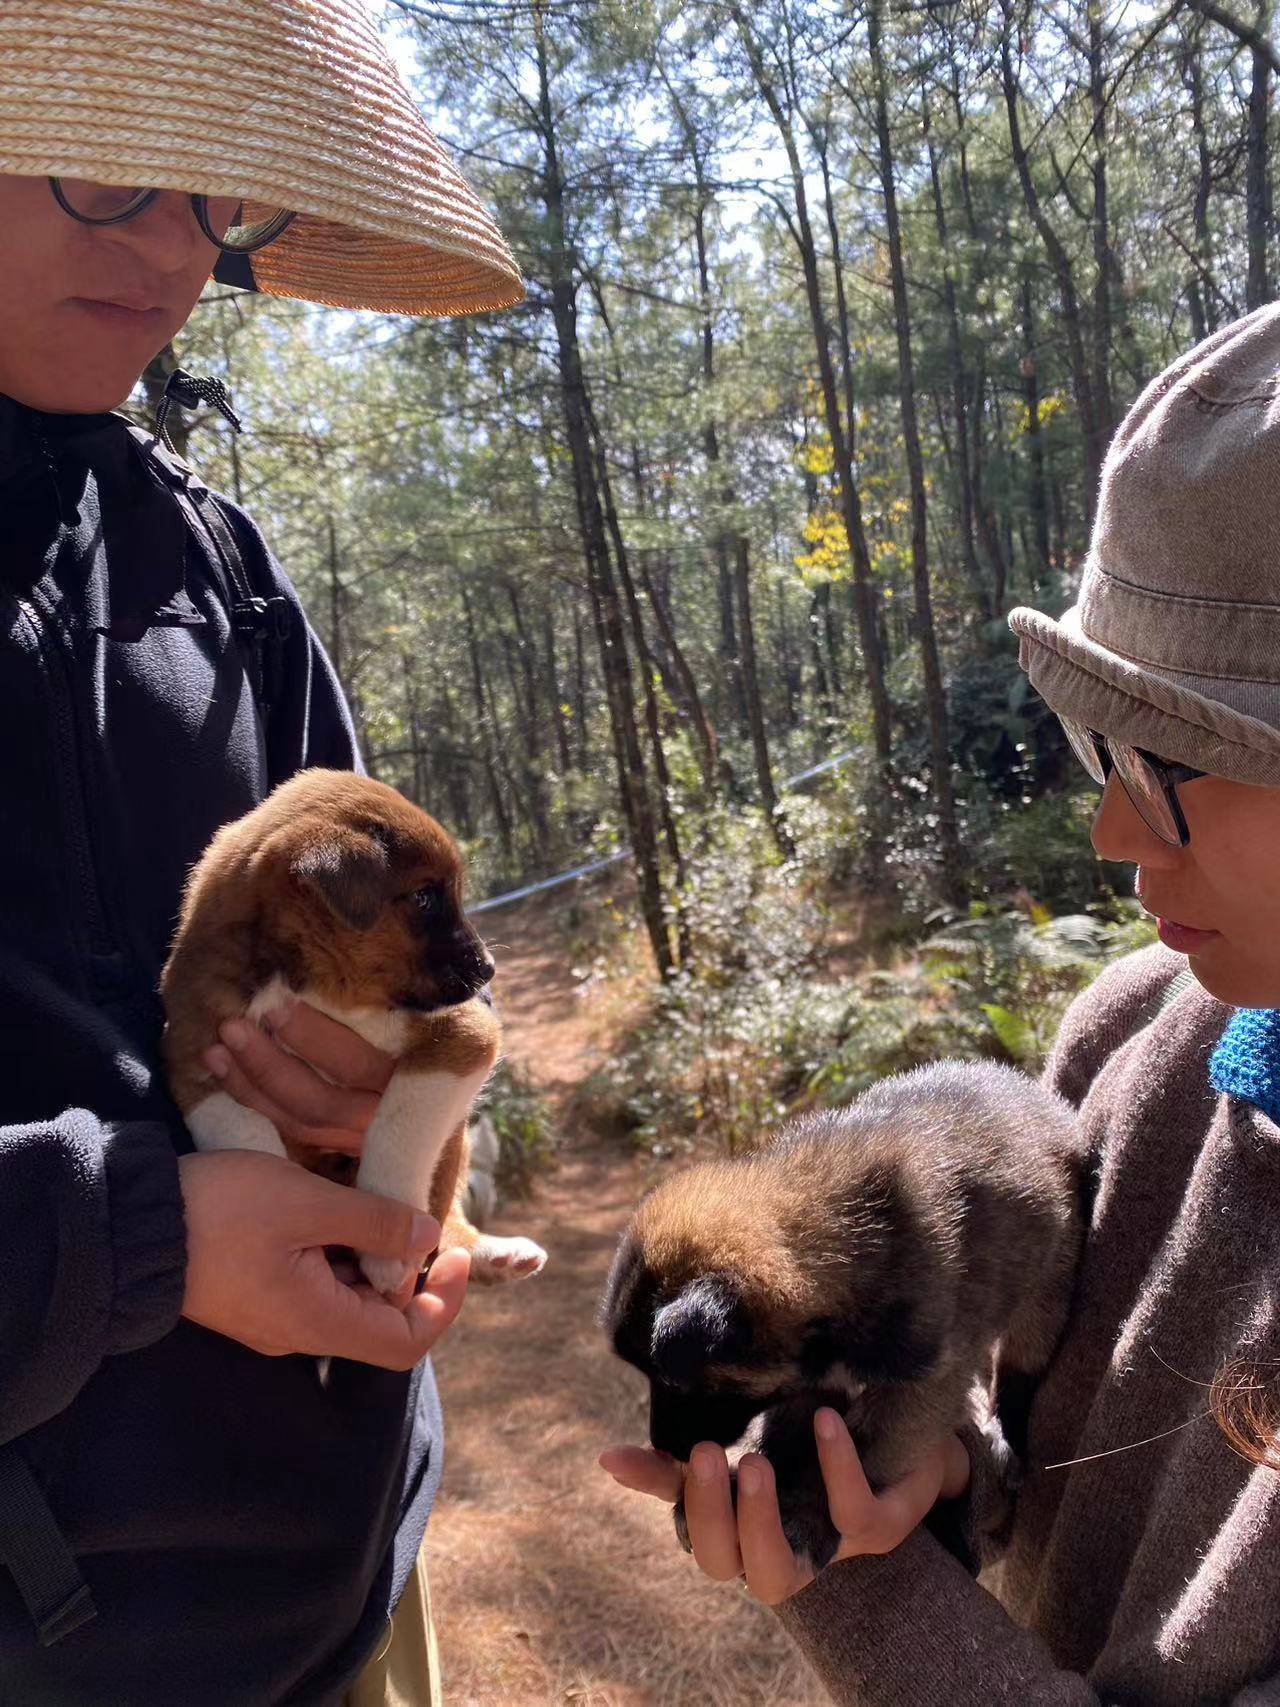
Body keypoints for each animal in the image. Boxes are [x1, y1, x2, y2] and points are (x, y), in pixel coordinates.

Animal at [160, 771, 546, 1290]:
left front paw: (388, 1246)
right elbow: (248, 1139)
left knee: (447, 1214)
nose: (489, 972)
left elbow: (395, 1126)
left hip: (457, 1141)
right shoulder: (194, 1066)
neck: (307, 984)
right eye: (424, 897)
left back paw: (493, 1252)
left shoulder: (461, 1036)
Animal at [607, 1065, 1085, 1570]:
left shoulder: (923, 1385)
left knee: (1020, 1369)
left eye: (675, 1383)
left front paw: (807, 1511)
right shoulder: (809, 1382)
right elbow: (786, 1433)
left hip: (1046, 1294)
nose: (662, 1445)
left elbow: (860, 1450)